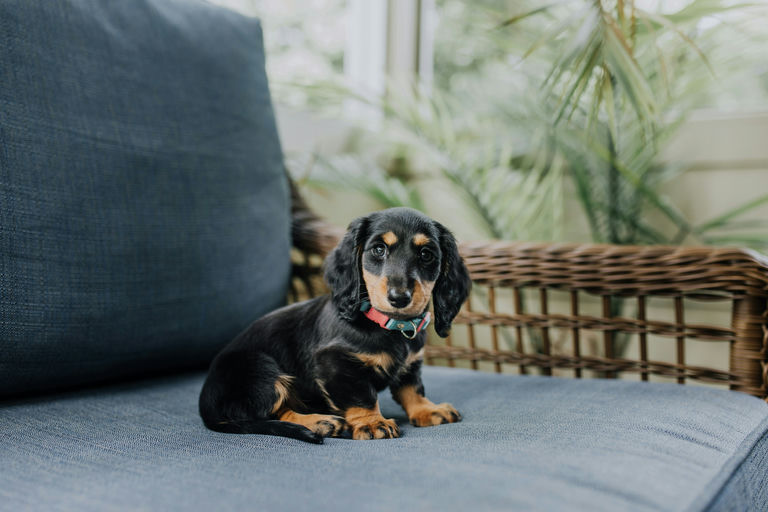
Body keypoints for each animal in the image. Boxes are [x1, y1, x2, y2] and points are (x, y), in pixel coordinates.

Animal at [196, 208, 474, 444]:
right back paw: (321, 422)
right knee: (270, 412)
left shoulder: (412, 363)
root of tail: (205, 406)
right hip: (258, 368)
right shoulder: (336, 363)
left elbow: (412, 388)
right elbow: (361, 397)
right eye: (379, 249)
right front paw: (372, 423)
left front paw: (427, 410)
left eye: (426, 254)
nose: (399, 298)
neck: (387, 324)